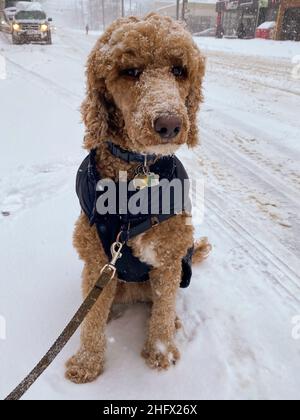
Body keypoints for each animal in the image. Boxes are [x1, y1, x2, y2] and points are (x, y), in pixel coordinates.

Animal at [65, 13, 211, 382]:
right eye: (130, 71)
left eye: (179, 70)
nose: (169, 124)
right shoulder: (96, 260)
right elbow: (91, 319)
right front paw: (87, 361)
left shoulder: (168, 259)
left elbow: (162, 309)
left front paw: (160, 351)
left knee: (163, 305)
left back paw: (174, 322)